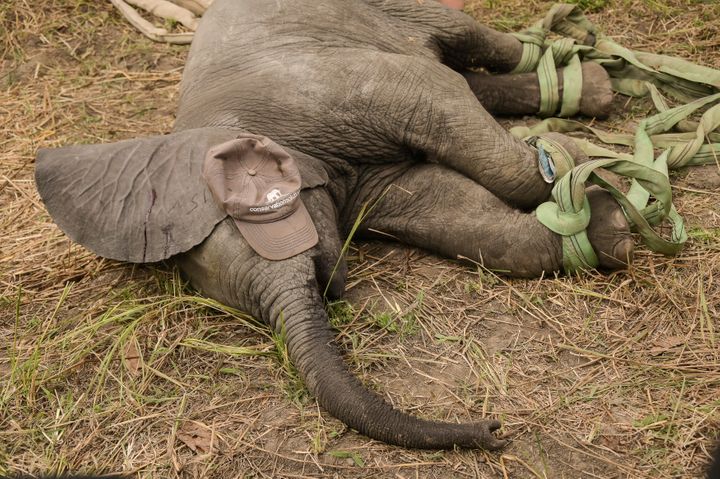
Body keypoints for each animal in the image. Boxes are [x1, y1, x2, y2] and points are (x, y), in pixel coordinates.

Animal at [34, 0, 634, 451]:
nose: (492, 428)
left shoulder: (327, 87)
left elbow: (439, 98)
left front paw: (572, 162)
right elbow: (445, 207)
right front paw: (608, 228)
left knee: (467, 44)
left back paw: (576, 72)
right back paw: (592, 89)